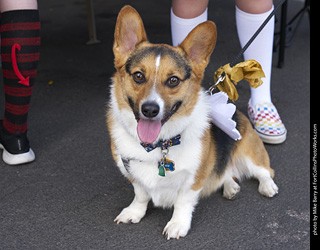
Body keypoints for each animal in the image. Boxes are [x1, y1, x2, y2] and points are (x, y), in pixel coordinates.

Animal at [107, 6, 278, 240]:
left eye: (173, 80)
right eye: (138, 76)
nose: (150, 110)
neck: (160, 144)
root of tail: (238, 113)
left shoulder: (193, 178)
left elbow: (183, 202)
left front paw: (177, 225)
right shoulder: (130, 172)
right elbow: (140, 194)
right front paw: (134, 212)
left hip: (250, 155)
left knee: (264, 171)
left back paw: (267, 187)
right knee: (227, 172)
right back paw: (229, 187)